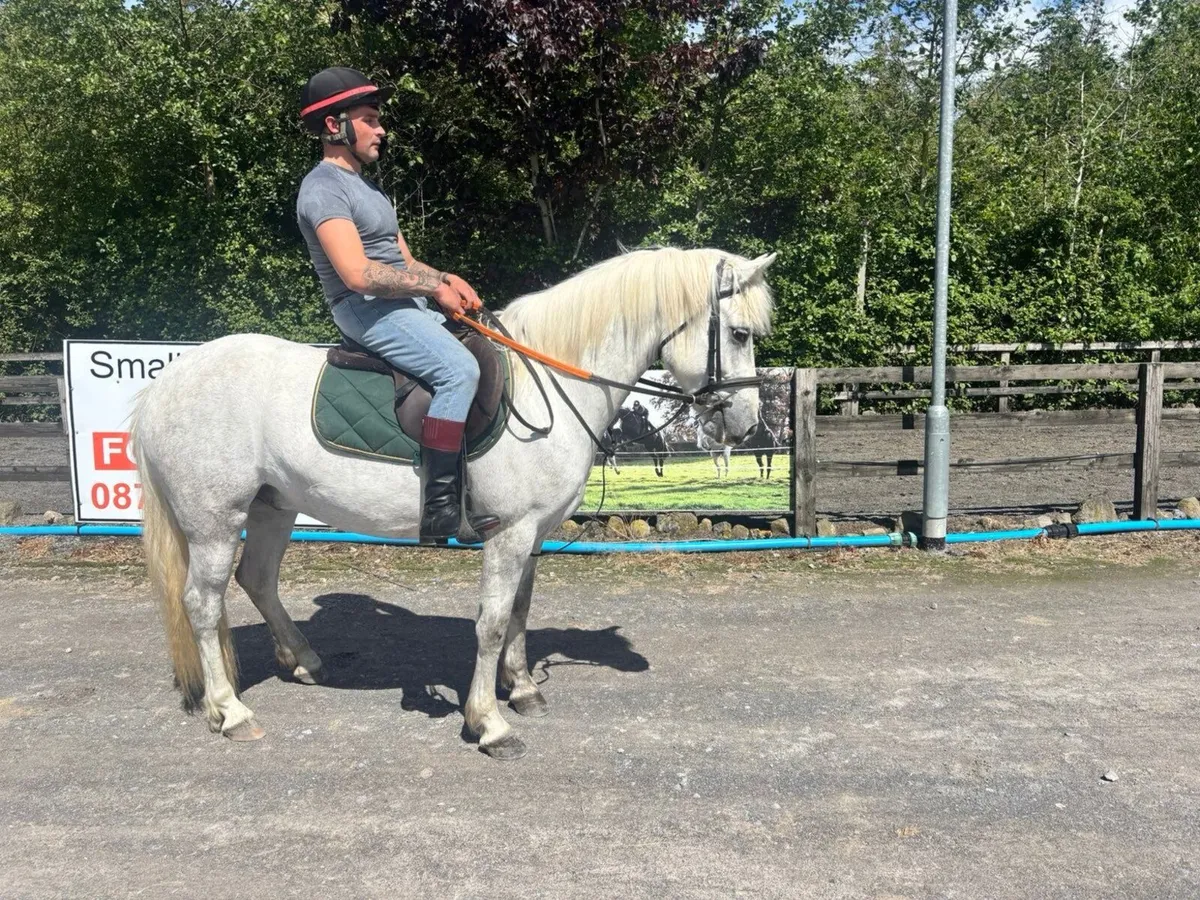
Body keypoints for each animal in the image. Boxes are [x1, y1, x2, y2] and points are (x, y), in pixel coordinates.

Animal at [131, 247, 775, 759]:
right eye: (740, 334)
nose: (746, 424)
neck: (549, 381)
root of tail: (168, 382)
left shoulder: (533, 534)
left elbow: (518, 612)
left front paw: (522, 689)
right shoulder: (509, 533)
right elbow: (490, 622)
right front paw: (488, 723)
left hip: (273, 506)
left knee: (258, 580)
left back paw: (305, 661)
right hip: (216, 520)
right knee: (203, 605)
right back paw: (231, 711)